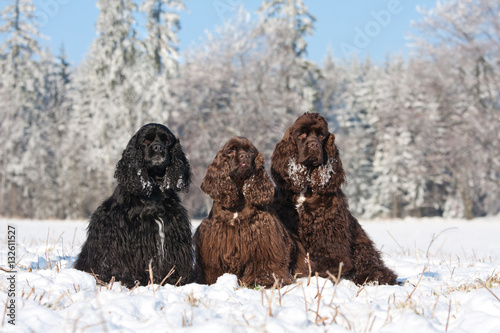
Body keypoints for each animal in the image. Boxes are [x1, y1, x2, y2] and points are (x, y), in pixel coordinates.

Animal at [74, 123, 193, 286]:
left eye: (167, 141)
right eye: (146, 141)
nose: (158, 147)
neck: (154, 190)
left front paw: (177, 280)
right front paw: (129, 281)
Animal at [193, 136, 300, 286]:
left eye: (251, 151)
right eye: (231, 151)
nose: (245, 156)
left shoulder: (263, 231)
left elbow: (265, 262)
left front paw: (266, 279)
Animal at [272, 113, 396, 284]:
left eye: (321, 136)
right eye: (301, 134)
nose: (314, 145)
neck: (306, 187)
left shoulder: (328, 226)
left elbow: (329, 255)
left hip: (360, 244)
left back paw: (377, 276)